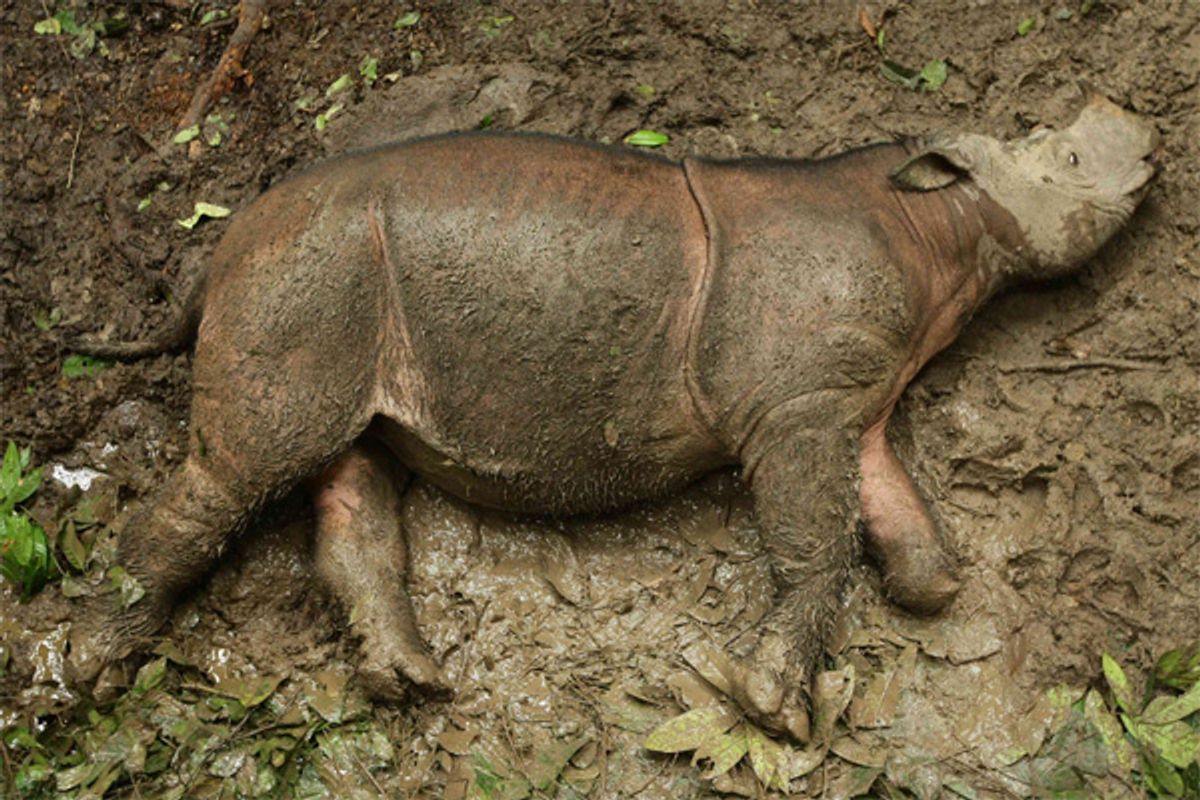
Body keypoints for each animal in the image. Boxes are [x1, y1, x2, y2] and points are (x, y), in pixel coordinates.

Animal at [68, 88, 1157, 740]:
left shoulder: (852, 400)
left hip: (334, 285)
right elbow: (815, 542)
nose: (1142, 128)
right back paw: (89, 675)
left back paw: (413, 683)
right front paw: (771, 712)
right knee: (244, 469)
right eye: (1064, 156)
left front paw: (923, 587)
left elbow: (902, 533)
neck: (939, 221)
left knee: (353, 468)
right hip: (301, 276)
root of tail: (216, 250)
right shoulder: (799, 404)